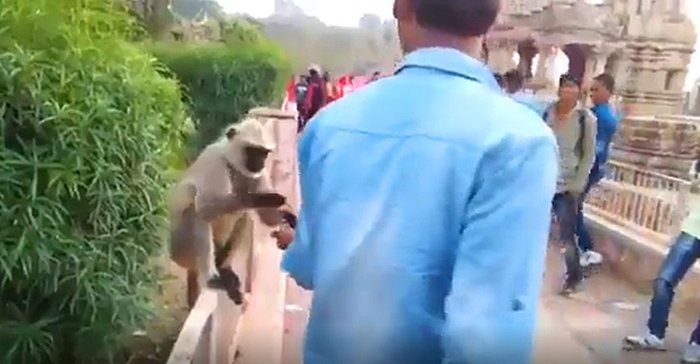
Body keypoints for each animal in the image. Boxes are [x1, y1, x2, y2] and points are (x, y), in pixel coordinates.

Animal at [170, 117, 290, 308]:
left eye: (264, 153)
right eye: (253, 151)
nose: (261, 161)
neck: (231, 162)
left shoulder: (255, 174)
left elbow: (267, 218)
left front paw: (288, 217)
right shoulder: (214, 160)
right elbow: (205, 209)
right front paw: (262, 199)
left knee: (245, 217)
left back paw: (224, 269)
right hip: (181, 249)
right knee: (195, 214)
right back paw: (212, 280)